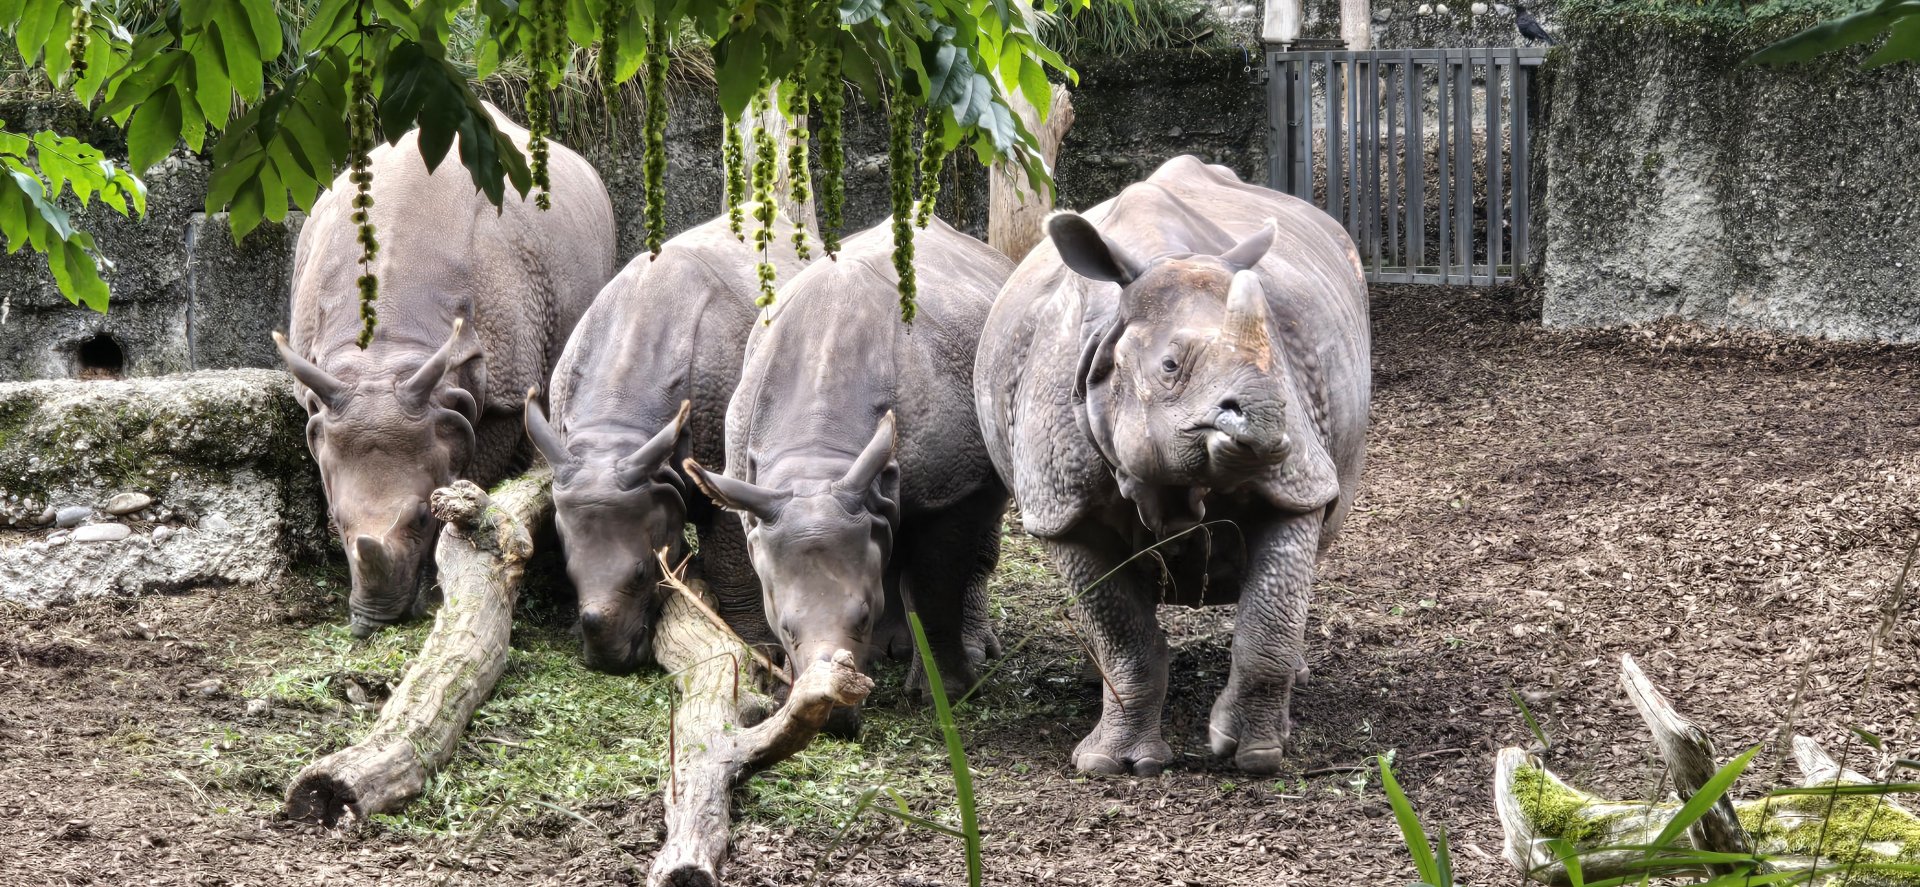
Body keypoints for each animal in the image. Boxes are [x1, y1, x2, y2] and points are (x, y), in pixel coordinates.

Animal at [277, 104, 615, 637]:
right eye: (335, 518)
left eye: (419, 518)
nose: (376, 619)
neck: (385, 355)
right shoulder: (324, 392)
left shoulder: (503, 390)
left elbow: (466, 479)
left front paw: (441, 582)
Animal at [525, 210, 810, 673]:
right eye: (568, 570)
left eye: (643, 572)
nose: (610, 662)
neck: (617, 428)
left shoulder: (724, 461)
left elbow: (731, 550)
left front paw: (756, 648)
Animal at [684, 217, 1013, 711]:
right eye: (784, 627)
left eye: (861, 616)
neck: (818, 457)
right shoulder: (756, 492)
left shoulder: (952, 484)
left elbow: (935, 588)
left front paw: (947, 696)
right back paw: (889, 649)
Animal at [973, 155, 1370, 775]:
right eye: (1169, 366)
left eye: (1273, 360)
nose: (1266, 424)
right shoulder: (1061, 504)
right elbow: (1121, 629)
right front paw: (1112, 765)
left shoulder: (1298, 477)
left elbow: (1271, 616)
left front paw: (1254, 753)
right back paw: (1091, 680)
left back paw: (1297, 684)